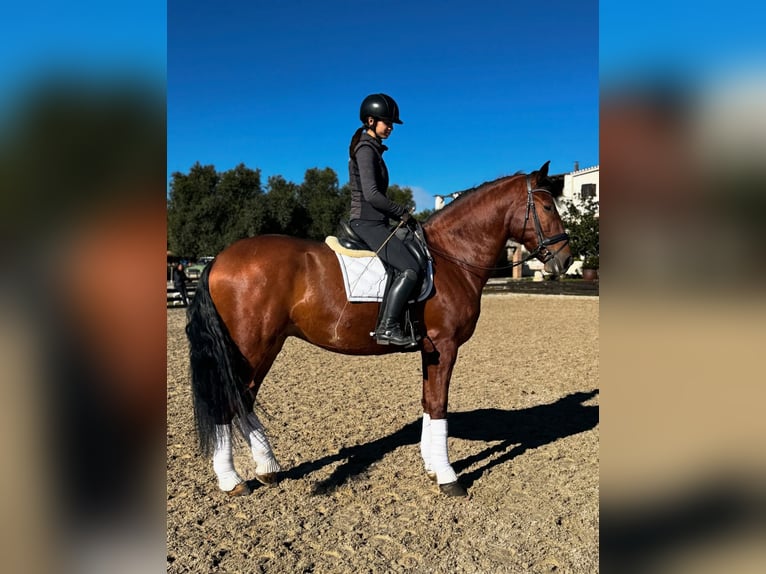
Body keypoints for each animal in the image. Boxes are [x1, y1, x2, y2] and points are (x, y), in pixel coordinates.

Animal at [186, 160, 572, 497]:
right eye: (546, 206)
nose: (565, 259)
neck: (450, 257)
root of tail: (218, 260)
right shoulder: (445, 346)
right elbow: (439, 403)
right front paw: (448, 477)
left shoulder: (430, 349)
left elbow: (428, 402)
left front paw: (431, 466)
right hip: (252, 346)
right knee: (229, 401)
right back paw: (232, 481)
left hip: (266, 346)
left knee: (245, 399)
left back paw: (267, 469)